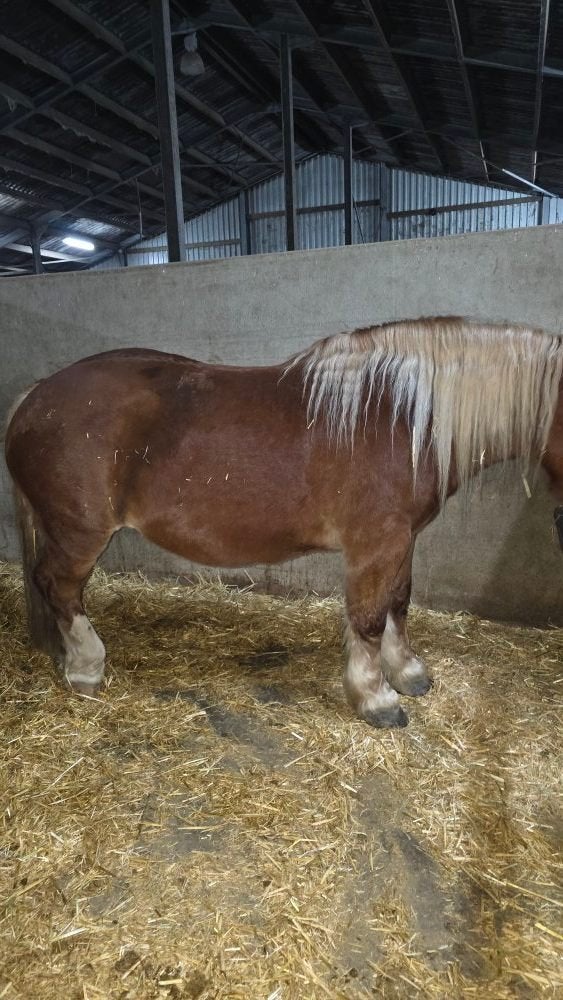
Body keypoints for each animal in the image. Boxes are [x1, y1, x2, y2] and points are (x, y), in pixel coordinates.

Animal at [5, 316, 563, 728]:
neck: (400, 418)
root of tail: (35, 396)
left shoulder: (403, 541)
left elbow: (398, 603)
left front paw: (407, 672)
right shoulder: (376, 545)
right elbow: (368, 618)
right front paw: (375, 698)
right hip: (80, 535)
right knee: (59, 587)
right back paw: (85, 668)